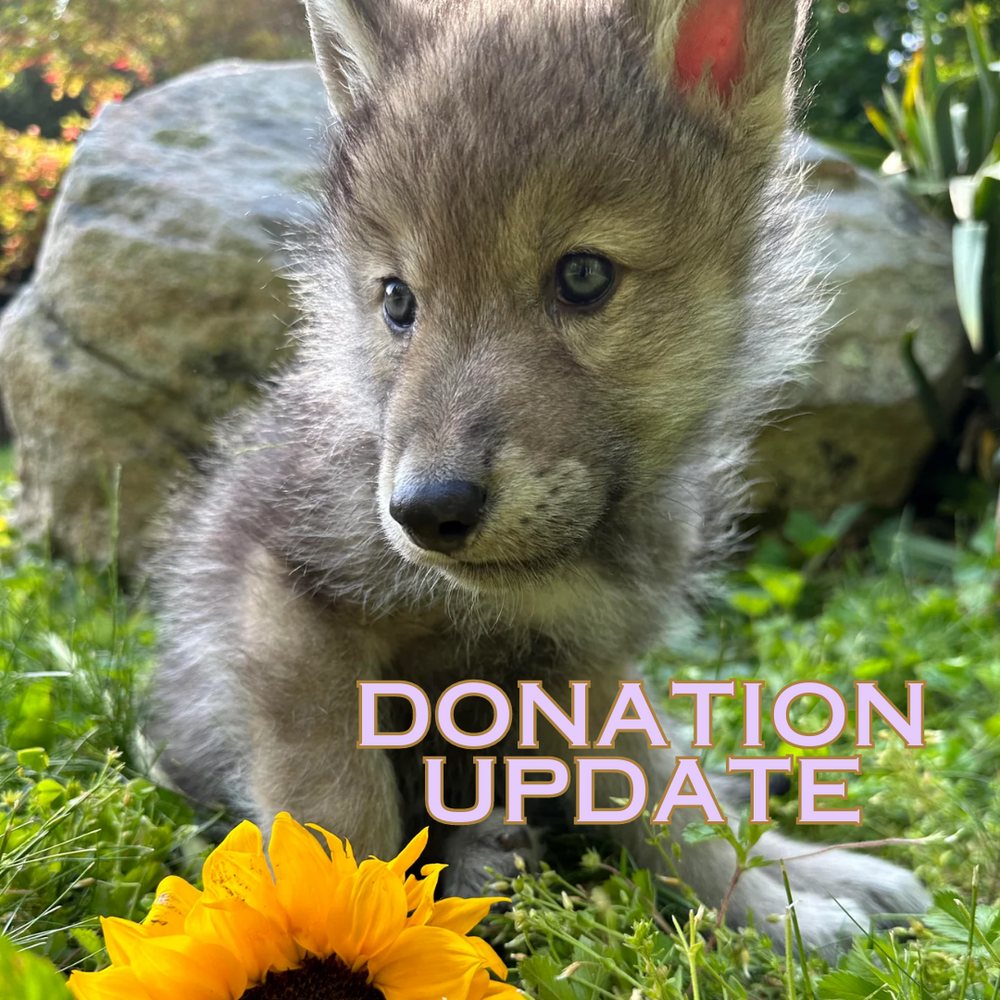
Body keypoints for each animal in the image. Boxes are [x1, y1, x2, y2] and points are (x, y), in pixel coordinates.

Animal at [150, 0, 929, 954]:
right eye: (398, 300)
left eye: (584, 276)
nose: (425, 511)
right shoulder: (289, 606)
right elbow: (341, 823)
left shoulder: (586, 664)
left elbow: (672, 812)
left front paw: (763, 915)